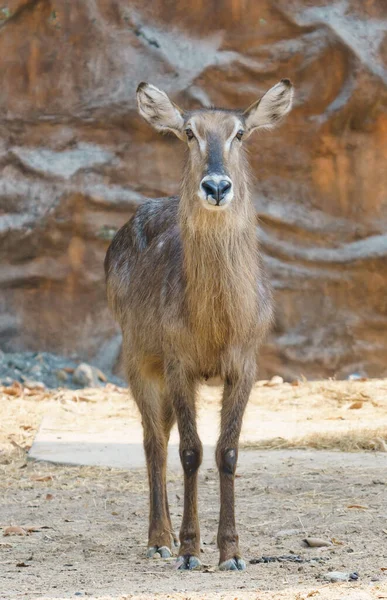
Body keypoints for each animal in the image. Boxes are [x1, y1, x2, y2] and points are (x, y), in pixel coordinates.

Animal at [104, 77, 292, 568]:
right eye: (189, 132)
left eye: (240, 133)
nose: (217, 186)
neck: (216, 325)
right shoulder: (178, 362)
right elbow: (191, 451)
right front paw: (190, 550)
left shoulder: (245, 364)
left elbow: (227, 451)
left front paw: (230, 551)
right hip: (139, 357)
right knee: (153, 441)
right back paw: (160, 539)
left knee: (163, 435)